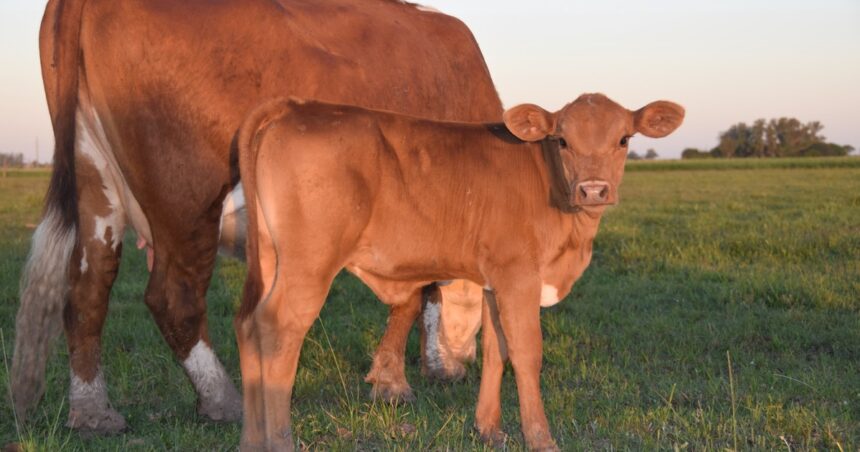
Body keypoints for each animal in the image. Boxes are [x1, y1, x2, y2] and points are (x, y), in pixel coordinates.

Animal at [11, 0, 498, 434]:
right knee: (173, 297)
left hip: (95, 180)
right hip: (188, 197)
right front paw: (395, 381)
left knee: (88, 289)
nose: (464, 364)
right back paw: (223, 401)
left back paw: (93, 413)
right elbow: (414, 296)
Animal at [237, 93, 684, 450]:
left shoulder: (493, 280)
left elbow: (495, 350)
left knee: (247, 325)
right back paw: (280, 441)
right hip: (310, 262)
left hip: (268, 256)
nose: (593, 189)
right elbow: (526, 353)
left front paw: (489, 429)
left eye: (623, 139)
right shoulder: (518, 275)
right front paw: (541, 439)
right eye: (562, 140)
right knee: (278, 329)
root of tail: (293, 105)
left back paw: (251, 441)